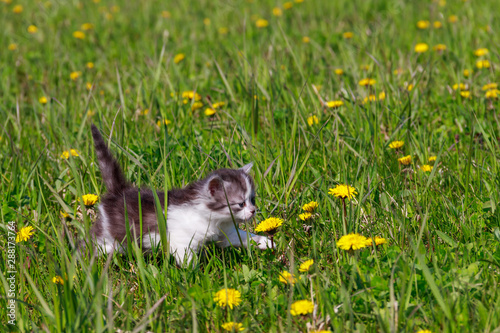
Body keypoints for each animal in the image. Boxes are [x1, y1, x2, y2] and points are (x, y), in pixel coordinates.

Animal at [86, 124, 274, 264]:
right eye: (240, 203)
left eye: (252, 199)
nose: (253, 211)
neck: (212, 217)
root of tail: (120, 191)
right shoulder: (181, 239)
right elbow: (186, 258)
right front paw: (193, 275)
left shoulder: (224, 232)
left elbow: (241, 236)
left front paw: (264, 242)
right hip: (112, 237)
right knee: (93, 244)